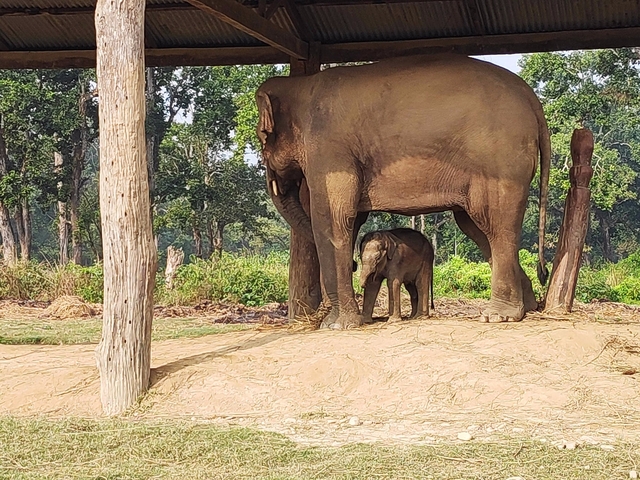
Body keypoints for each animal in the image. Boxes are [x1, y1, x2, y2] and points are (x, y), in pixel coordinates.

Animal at [256, 54, 550, 329]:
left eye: (262, 137)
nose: (354, 265)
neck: (302, 85)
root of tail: (530, 96)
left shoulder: (328, 150)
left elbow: (332, 219)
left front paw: (335, 325)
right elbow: (352, 219)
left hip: (501, 160)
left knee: (497, 225)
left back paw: (498, 316)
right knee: (477, 228)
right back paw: (527, 308)